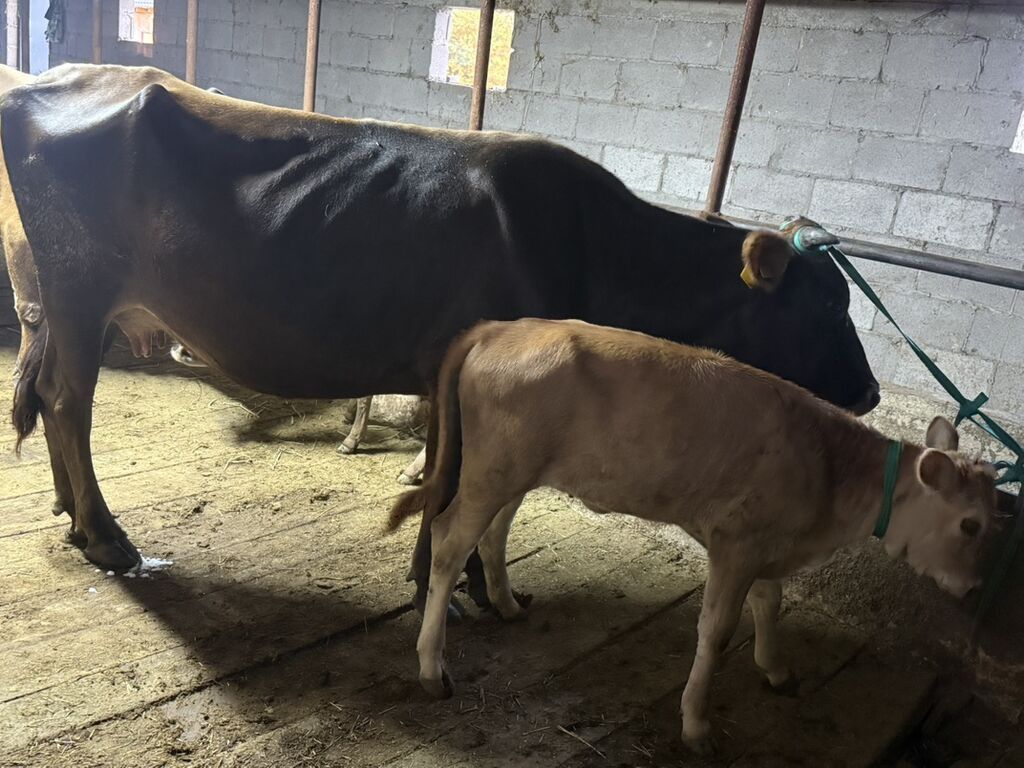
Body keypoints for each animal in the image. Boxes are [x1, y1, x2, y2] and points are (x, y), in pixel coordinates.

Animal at [3, 64, 878, 583]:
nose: (870, 392)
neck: (596, 244)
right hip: (81, 288)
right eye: (824, 306)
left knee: (47, 394)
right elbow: (454, 480)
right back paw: (105, 536)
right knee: (69, 401)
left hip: (62, 300)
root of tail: (61, 75)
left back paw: (71, 516)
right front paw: (445, 581)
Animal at [386, 318, 1000, 754]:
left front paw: (775, 668)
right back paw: (431, 669)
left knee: (492, 533)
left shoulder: (763, 542)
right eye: (971, 523)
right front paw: (697, 722)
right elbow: (718, 630)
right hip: (492, 469)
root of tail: (502, 327)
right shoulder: (737, 541)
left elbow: (770, 601)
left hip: (518, 469)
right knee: (448, 540)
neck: (829, 475)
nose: (974, 587)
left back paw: (509, 605)